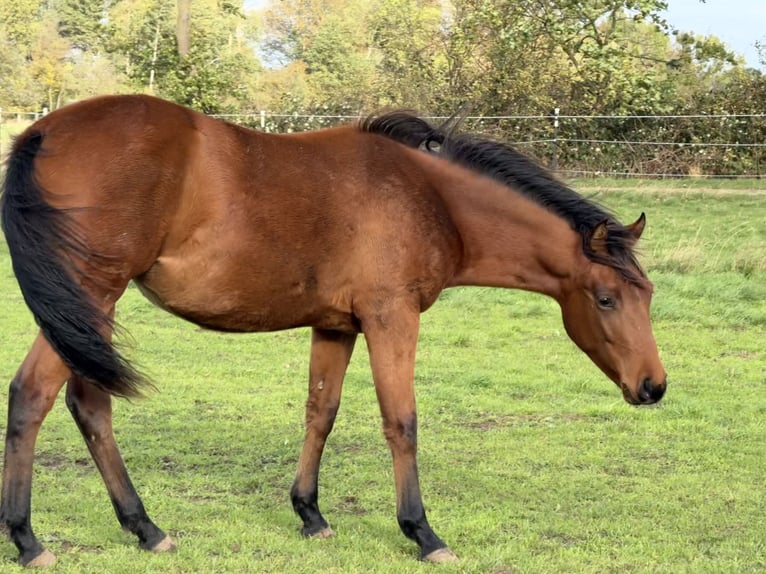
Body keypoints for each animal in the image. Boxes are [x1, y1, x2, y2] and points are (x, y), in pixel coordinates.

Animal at [0, 94, 667, 567]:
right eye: (606, 298)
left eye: (648, 295)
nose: (653, 386)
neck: (431, 197)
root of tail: (41, 132)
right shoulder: (391, 317)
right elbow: (401, 422)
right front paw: (422, 532)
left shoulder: (336, 326)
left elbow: (321, 411)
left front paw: (310, 515)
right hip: (89, 296)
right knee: (34, 395)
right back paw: (29, 540)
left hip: (89, 312)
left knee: (89, 405)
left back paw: (144, 528)